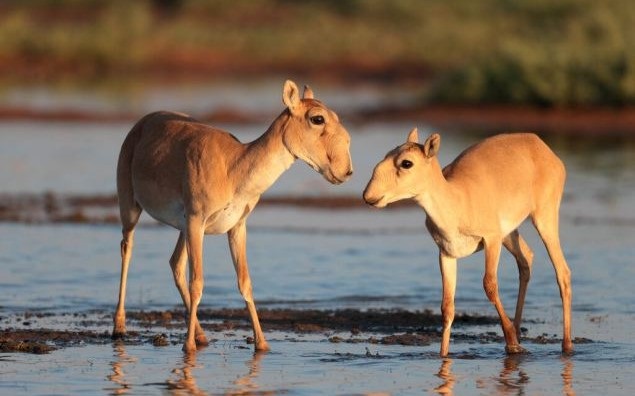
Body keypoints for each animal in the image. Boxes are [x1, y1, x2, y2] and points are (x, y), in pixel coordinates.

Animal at [113, 80, 352, 352]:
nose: (346, 170)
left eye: (335, 115)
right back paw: (119, 327)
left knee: (175, 263)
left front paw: (262, 343)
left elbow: (244, 282)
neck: (234, 167)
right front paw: (187, 347)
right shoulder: (196, 221)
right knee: (127, 248)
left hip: (183, 227)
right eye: (317, 118)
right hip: (132, 208)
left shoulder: (237, 227)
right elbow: (197, 283)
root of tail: (142, 122)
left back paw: (202, 335)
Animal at [366, 129, 572, 356]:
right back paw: (518, 332)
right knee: (526, 258)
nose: (368, 196)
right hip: (509, 233)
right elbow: (447, 307)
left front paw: (510, 340)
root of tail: (539, 144)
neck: (457, 200)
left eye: (406, 163)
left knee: (562, 272)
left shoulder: (491, 240)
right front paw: (443, 356)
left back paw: (565, 345)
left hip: (543, 218)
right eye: (388, 154)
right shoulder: (446, 254)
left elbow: (489, 285)